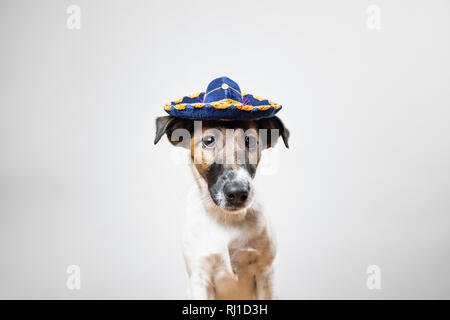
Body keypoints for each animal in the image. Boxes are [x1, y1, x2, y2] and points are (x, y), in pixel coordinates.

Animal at [155, 115, 288, 300]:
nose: (238, 192)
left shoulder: (266, 275)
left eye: (250, 141)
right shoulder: (200, 279)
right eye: (209, 140)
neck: (226, 219)